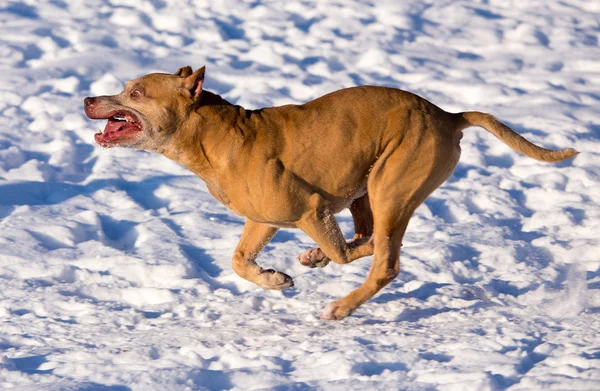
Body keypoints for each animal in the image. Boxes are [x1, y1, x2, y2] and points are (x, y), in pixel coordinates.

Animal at [83, 66, 576, 320]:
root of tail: (447, 115)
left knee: (385, 259)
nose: (88, 99)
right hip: (366, 191)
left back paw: (341, 305)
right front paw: (274, 279)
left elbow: (345, 252)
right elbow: (239, 260)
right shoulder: (263, 219)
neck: (214, 135)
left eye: (136, 92)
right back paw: (321, 258)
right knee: (371, 238)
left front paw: (318, 262)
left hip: (389, 187)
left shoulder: (311, 209)